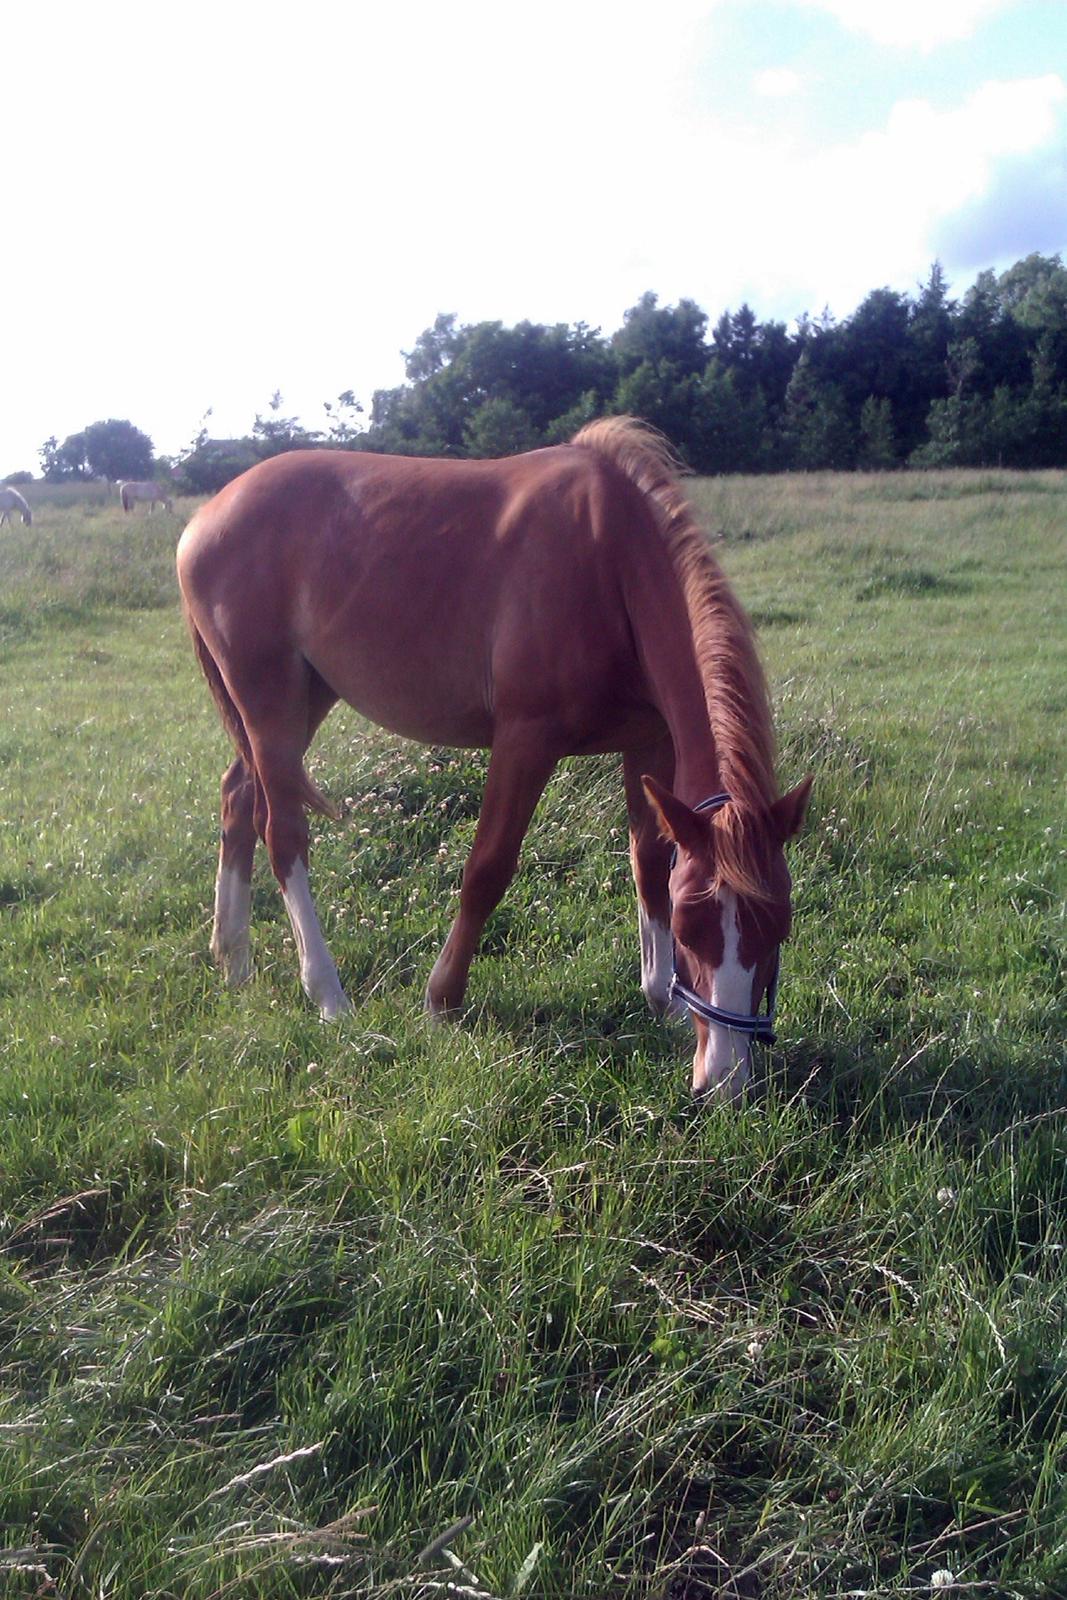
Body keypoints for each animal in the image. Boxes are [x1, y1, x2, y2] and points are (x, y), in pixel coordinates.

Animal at [177, 416, 809, 1100]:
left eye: (778, 925)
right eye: (694, 928)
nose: (726, 1082)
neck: (609, 559)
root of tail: (205, 517)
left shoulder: (649, 742)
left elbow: (648, 863)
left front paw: (659, 998)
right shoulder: (525, 741)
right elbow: (487, 870)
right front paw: (441, 1000)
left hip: (303, 700)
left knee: (237, 798)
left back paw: (233, 959)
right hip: (269, 704)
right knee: (283, 832)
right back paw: (327, 993)